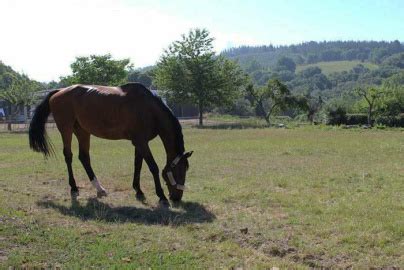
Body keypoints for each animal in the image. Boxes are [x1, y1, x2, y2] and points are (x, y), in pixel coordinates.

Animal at [28, 83, 193, 205]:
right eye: (180, 171)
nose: (177, 197)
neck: (148, 108)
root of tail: (59, 91)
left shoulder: (140, 142)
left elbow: (138, 165)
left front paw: (138, 190)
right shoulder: (141, 142)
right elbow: (153, 167)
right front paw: (161, 196)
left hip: (82, 131)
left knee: (84, 157)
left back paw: (99, 188)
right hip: (66, 129)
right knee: (68, 155)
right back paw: (74, 187)